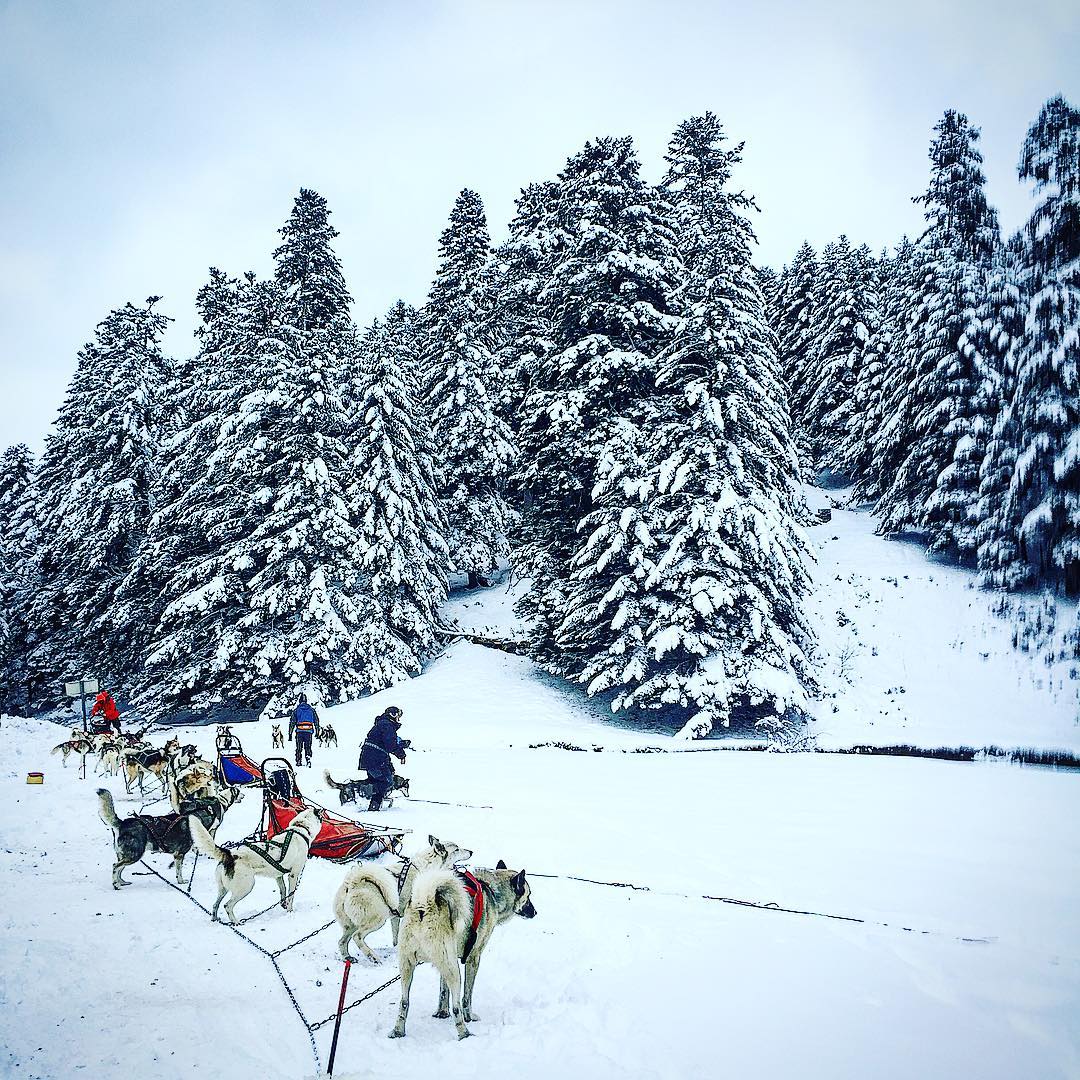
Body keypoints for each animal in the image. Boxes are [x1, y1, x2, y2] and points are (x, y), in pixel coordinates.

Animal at [190, 807, 319, 924]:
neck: (300, 828)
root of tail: (229, 854)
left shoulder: (278, 875)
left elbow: (283, 890)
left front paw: (283, 904)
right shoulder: (293, 875)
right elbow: (291, 895)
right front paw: (289, 911)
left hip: (223, 889)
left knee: (215, 904)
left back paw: (215, 919)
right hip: (246, 886)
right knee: (227, 905)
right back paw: (236, 922)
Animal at [390, 855, 537, 1041]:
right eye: (529, 895)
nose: (535, 912)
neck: (491, 890)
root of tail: (425, 904)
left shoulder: (444, 967)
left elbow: (442, 992)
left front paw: (441, 1013)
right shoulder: (473, 958)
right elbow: (467, 996)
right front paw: (469, 1017)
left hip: (409, 967)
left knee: (404, 1002)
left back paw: (398, 1031)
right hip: (454, 971)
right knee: (457, 1006)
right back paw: (464, 1033)